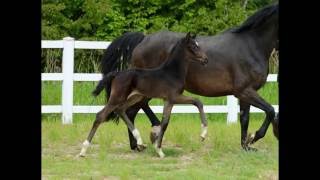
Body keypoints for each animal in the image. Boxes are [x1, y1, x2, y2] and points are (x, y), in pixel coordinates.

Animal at [79, 32, 209, 158]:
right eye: (193, 46)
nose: (206, 59)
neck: (172, 73)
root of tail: (116, 74)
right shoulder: (174, 97)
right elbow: (198, 102)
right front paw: (203, 134)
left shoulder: (168, 101)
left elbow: (165, 123)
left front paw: (159, 150)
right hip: (118, 97)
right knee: (101, 115)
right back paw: (83, 150)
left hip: (135, 97)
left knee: (121, 110)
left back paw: (140, 142)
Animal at [99, 3, 278, 151]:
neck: (251, 45)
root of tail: (144, 39)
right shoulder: (244, 91)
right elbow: (270, 110)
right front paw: (254, 138)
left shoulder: (246, 93)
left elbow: (245, 118)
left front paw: (246, 145)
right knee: (132, 110)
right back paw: (146, 138)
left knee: (131, 111)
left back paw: (138, 143)